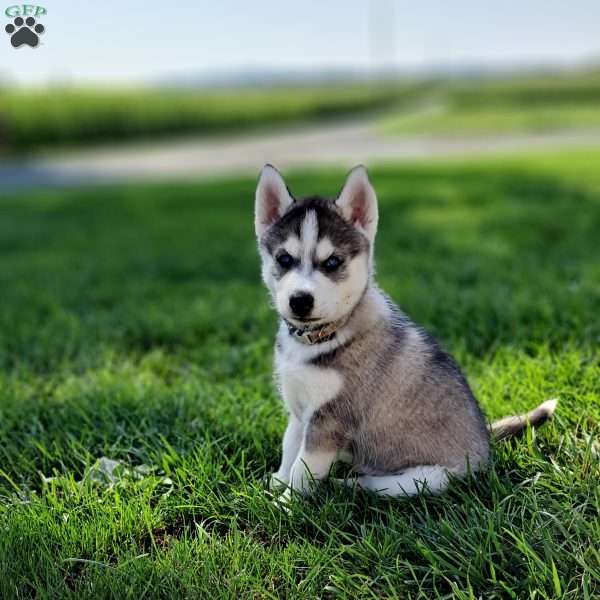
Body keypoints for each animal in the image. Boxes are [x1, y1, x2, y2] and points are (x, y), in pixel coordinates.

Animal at [254, 164, 556, 496]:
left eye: (332, 262)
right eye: (284, 259)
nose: (300, 301)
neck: (319, 339)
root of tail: (485, 448)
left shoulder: (328, 423)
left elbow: (302, 471)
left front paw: (283, 502)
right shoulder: (300, 412)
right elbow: (289, 448)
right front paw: (276, 481)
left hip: (422, 479)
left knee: (373, 484)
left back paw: (344, 484)